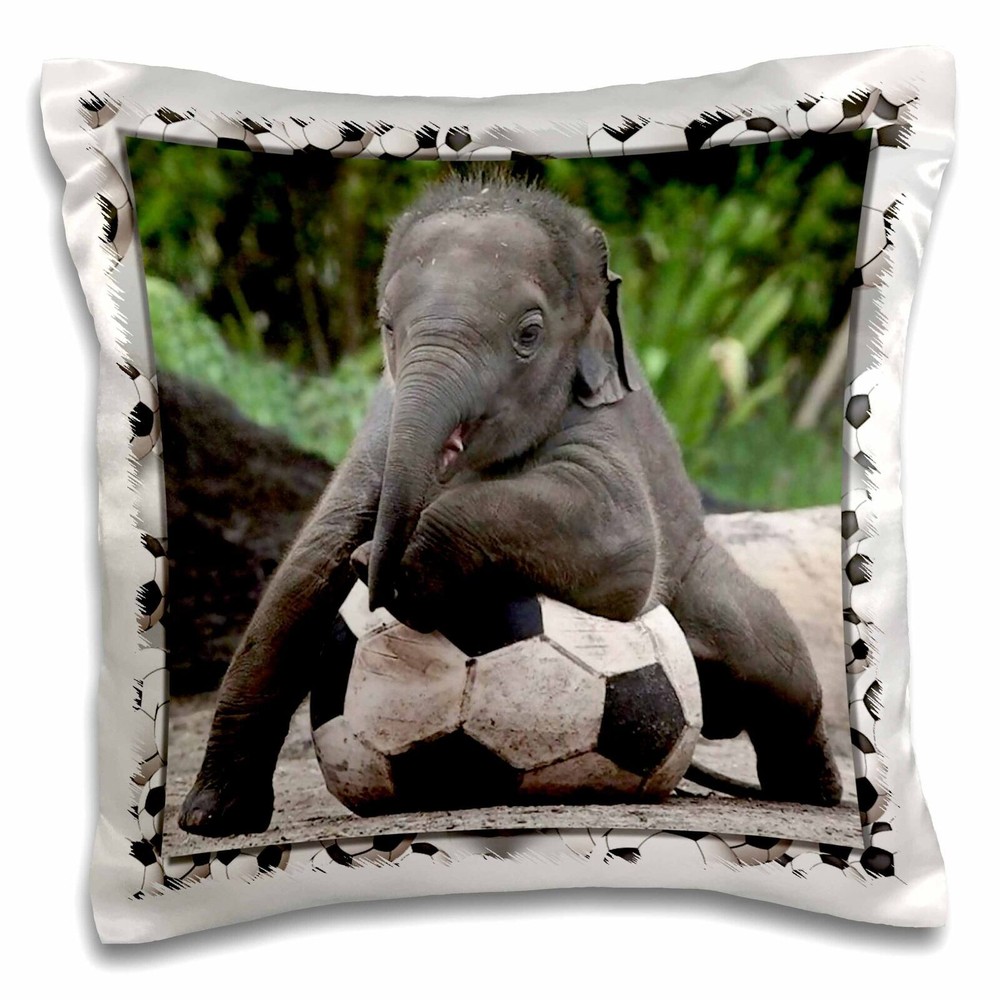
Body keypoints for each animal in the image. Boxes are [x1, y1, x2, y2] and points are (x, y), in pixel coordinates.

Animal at [179, 176, 842, 835]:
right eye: (387, 325)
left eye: (529, 333)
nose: (372, 575)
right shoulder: (379, 428)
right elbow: (306, 573)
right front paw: (210, 818)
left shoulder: (602, 421)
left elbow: (625, 544)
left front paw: (391, 564)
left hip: (703, 578)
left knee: (771, 656)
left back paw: (814, 794)